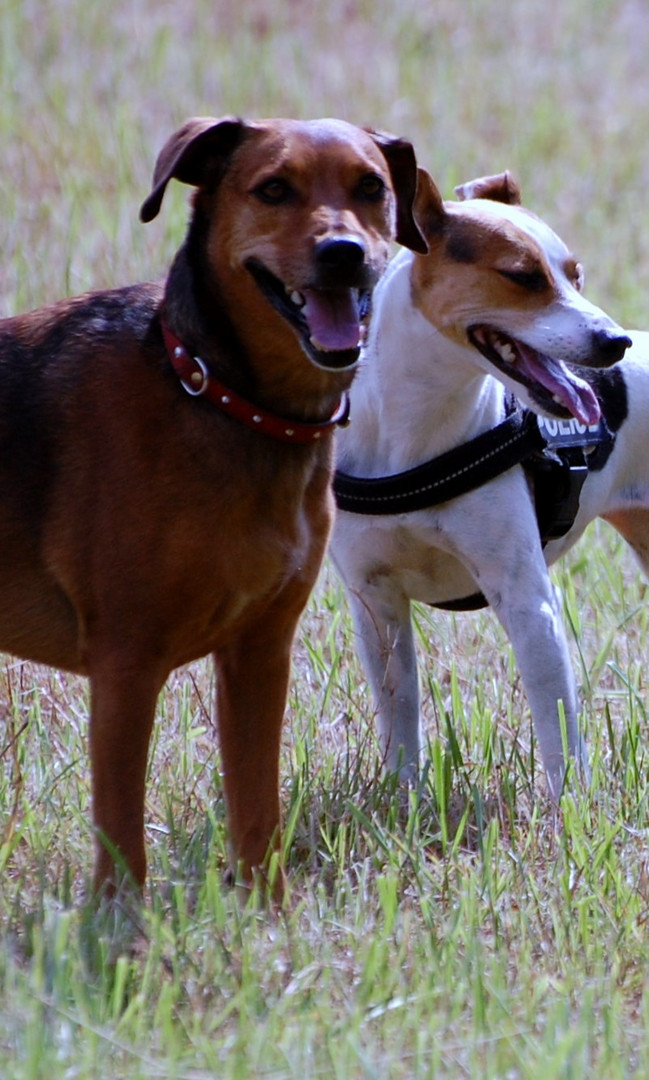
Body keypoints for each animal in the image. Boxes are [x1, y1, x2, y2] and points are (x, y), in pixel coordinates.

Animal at [1, 116, 425, 894]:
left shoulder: (258, 652)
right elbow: (120, 843)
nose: (343, 253)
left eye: (370, 187)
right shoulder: (126, 663)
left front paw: (267, 914)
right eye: (273, 190)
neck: (217, 391)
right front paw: (119, 925)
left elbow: (257, 816)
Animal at [332, 170, 639, 803]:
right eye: (523, 276)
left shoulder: (527, 600)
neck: (418, 431)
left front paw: (568, 808)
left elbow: (557, 728)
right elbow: (399, 718)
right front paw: (402, 799)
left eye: (575, 274)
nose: (616, 340)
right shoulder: (375, 604)